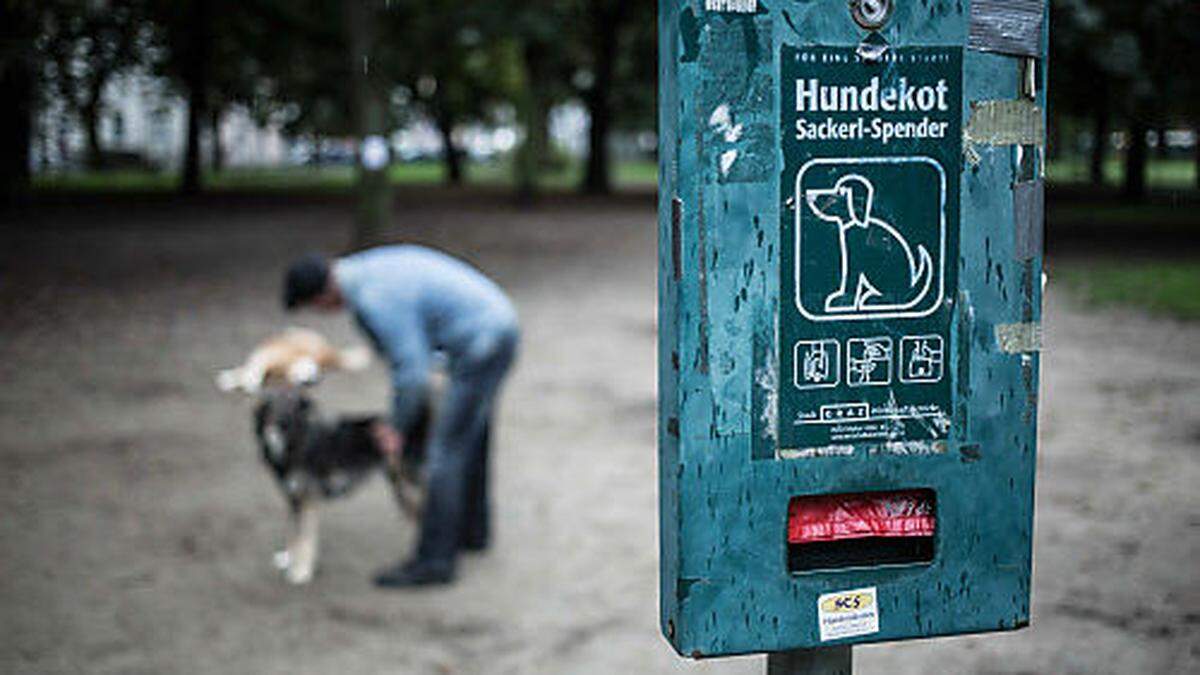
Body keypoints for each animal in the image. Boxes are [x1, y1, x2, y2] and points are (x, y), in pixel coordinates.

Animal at [213, 324, 367, 391]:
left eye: (313, 379)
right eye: (311, 375)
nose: (309, 382)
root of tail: (333, 352)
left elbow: (249, 371)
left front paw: (236, 380)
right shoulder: (266, 355)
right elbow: (251, 368)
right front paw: (239, 379)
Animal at [252, 386, 427, 581]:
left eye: (291, 403)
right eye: (270, 403)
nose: (279, 423)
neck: (298, 439)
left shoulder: (307, 500)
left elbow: (305, 538)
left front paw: (301, 571)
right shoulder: (293, 498)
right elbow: (292, 533)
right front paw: (288, 558)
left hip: (406, 484)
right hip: (399, 484)